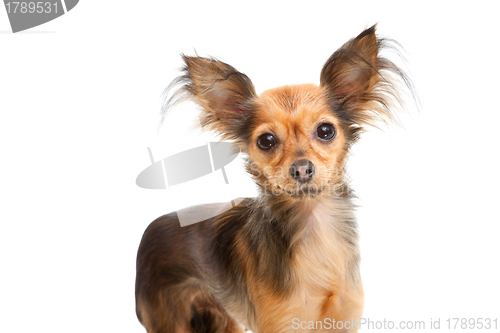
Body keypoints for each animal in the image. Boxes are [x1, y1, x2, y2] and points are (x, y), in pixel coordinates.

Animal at [135, 24, 412, 330]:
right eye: (266, 141)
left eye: (326, 131)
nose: (301, 169)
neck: (313, 226)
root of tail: (151, 229)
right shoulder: (279, 323)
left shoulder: (344, 319)